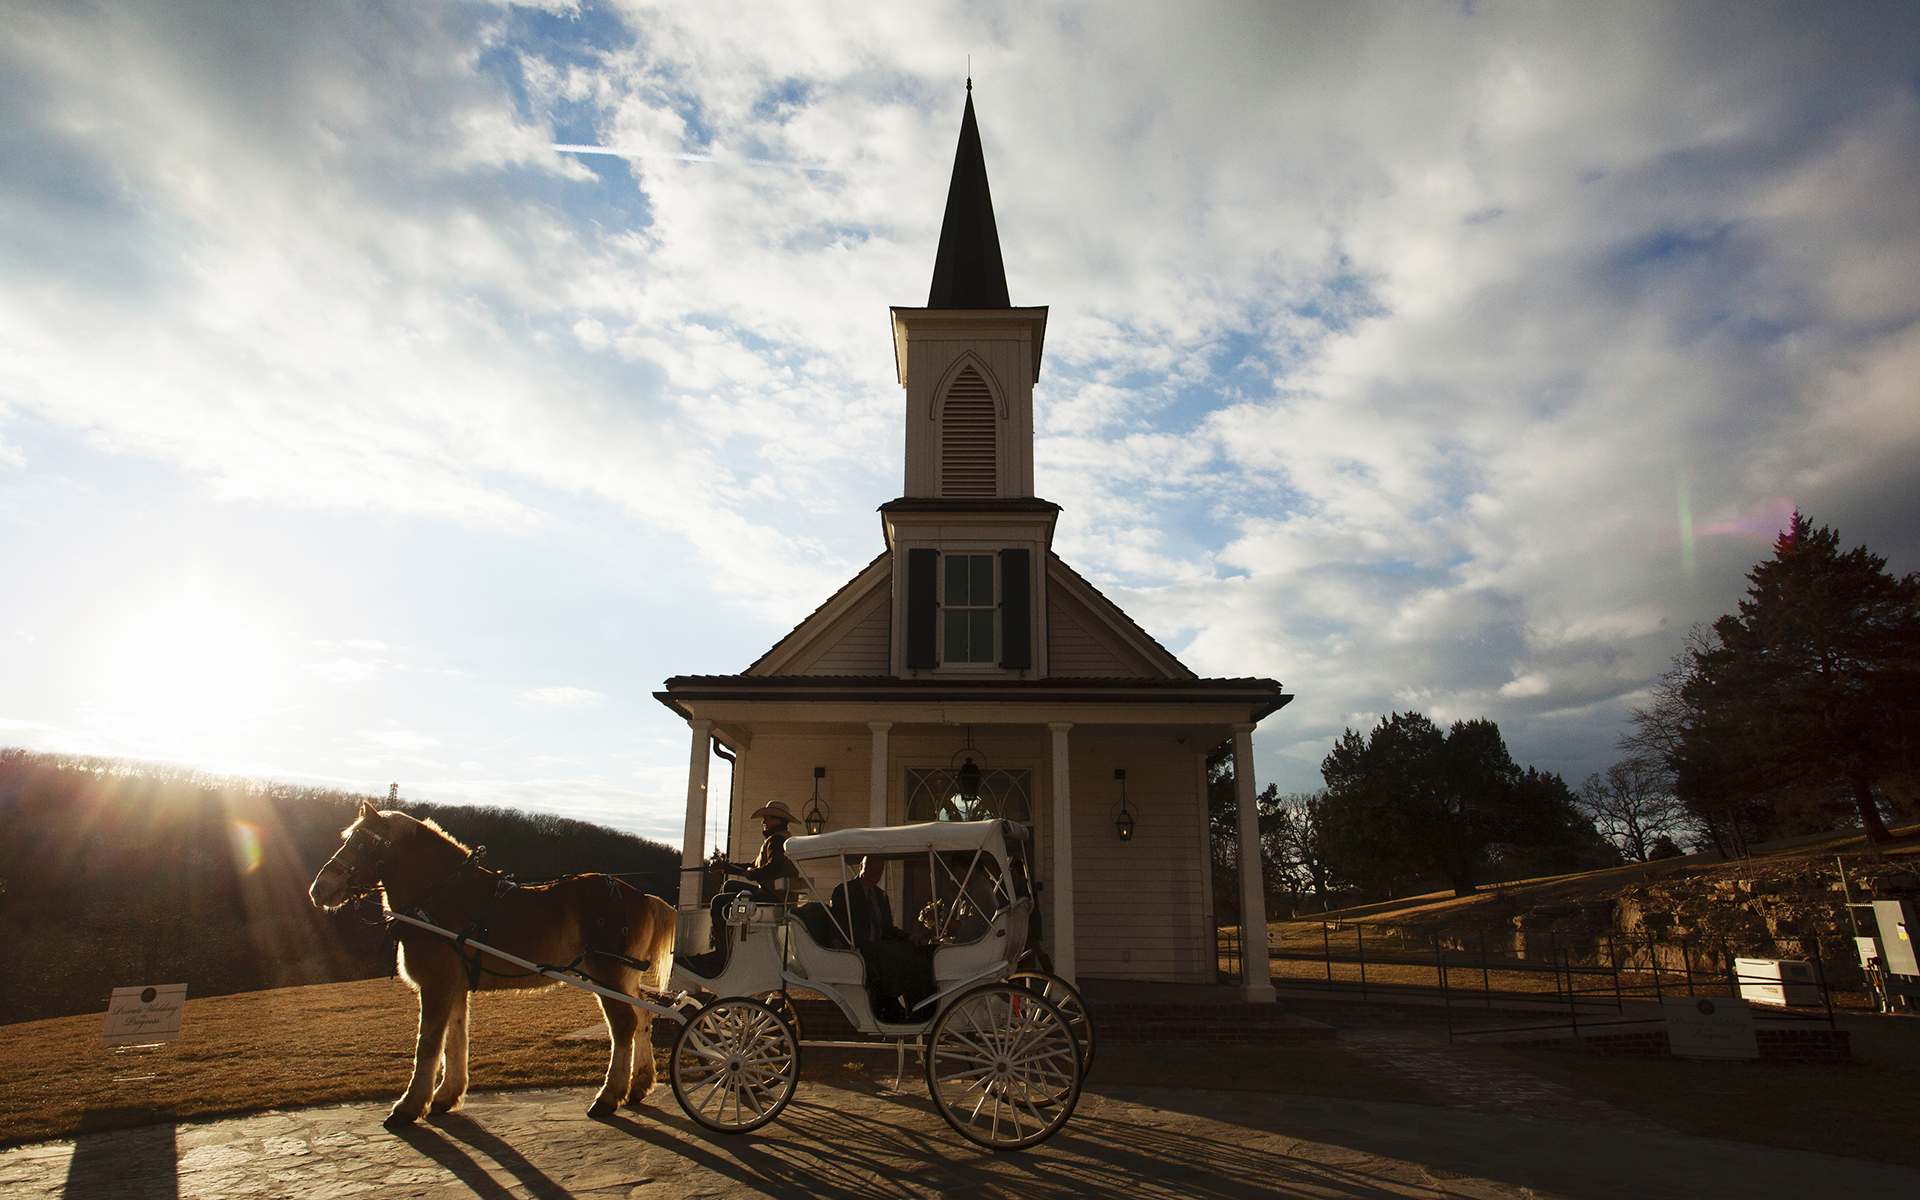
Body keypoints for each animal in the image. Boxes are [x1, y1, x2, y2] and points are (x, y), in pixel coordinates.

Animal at [307, 798, 675, 1128]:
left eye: (360, 843)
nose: (319, 889)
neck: (443, 895)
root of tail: (640, 896)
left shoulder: (436, 983)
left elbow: (428, 1043)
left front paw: (409, 1106)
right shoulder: (454, 986)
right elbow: (455, 1038)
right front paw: (445, 1096)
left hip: (607, 976)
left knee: (624, 1025)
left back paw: (609, 1096)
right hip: (624, 977)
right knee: (643, 1018)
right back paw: (639, 1084)